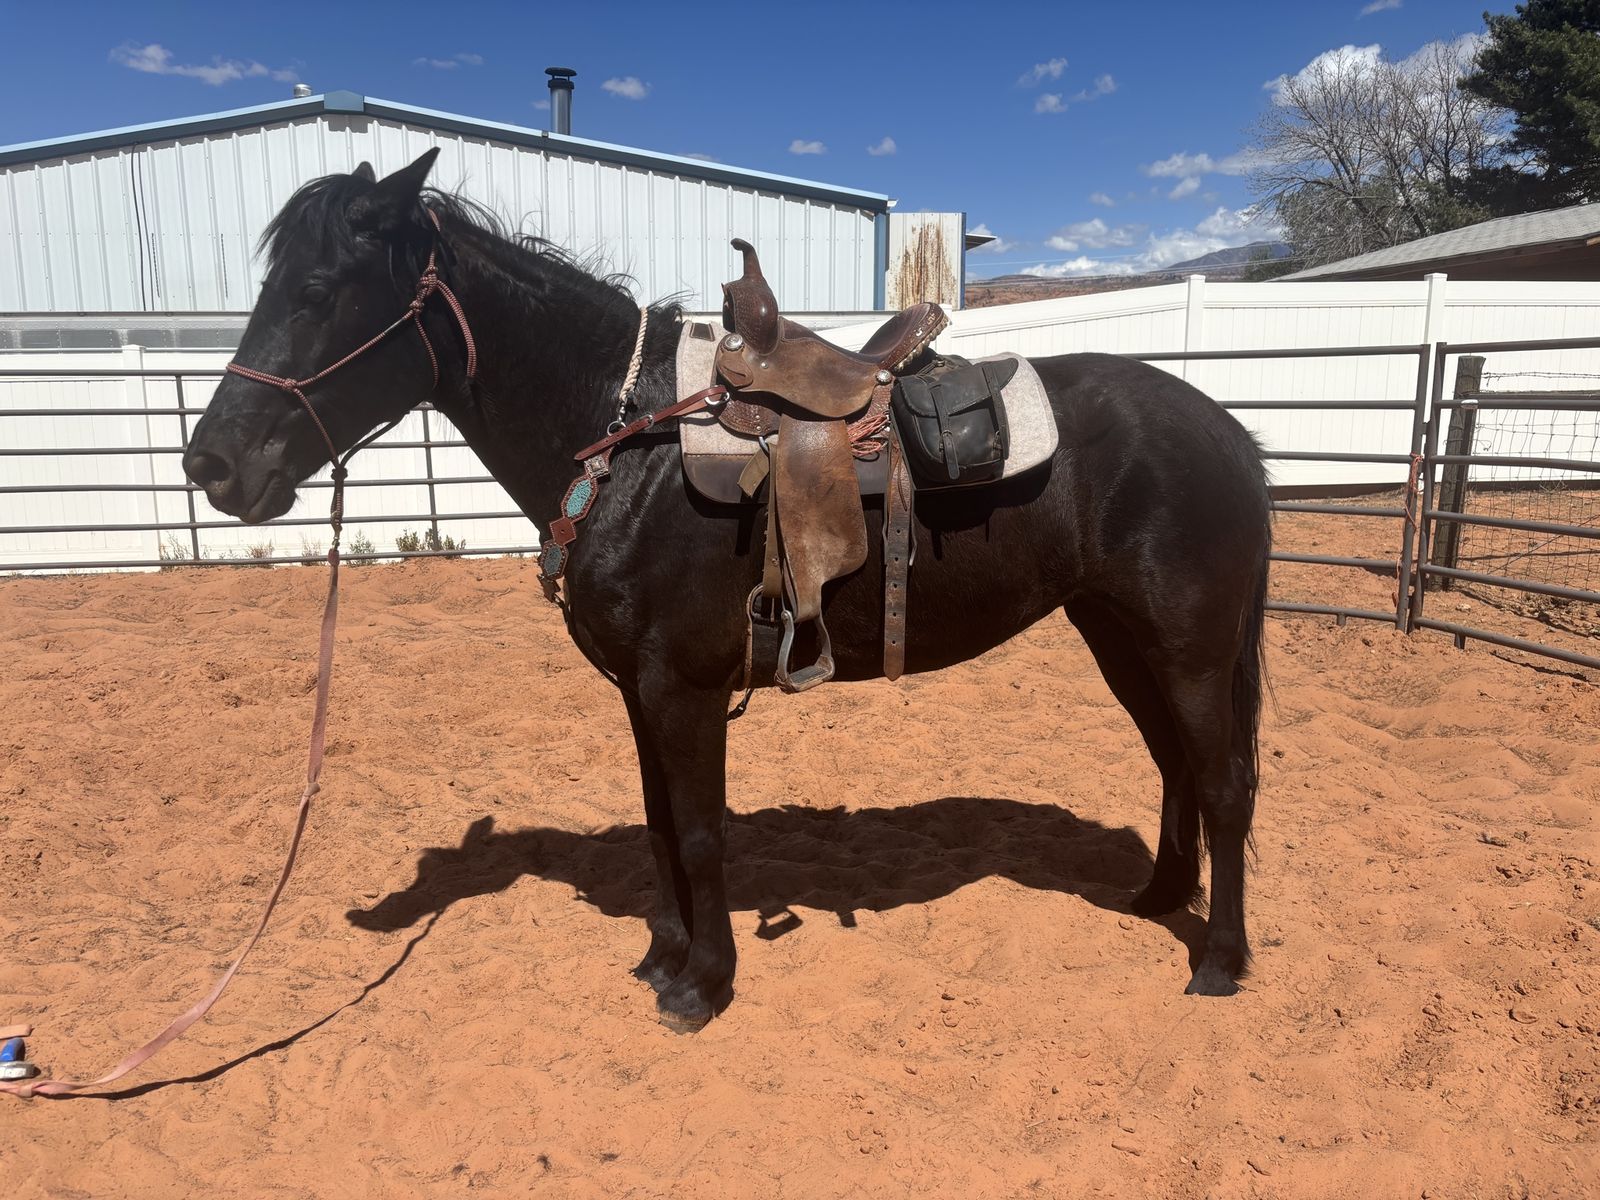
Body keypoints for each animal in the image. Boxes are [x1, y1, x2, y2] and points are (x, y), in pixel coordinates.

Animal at [184, 150, 1272, 1032]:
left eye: (318, 289)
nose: (212, 466)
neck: (627, 444)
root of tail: (1227, 431)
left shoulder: (684, 689)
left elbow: (702, 833)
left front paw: (704, 984)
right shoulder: (639, 693)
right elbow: (662, 824)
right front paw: (664, 957)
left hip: (1187, 647)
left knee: (1221, 783)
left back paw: (1219, 960)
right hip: (1121, 637)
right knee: (1177, 768)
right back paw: (1155, 900)